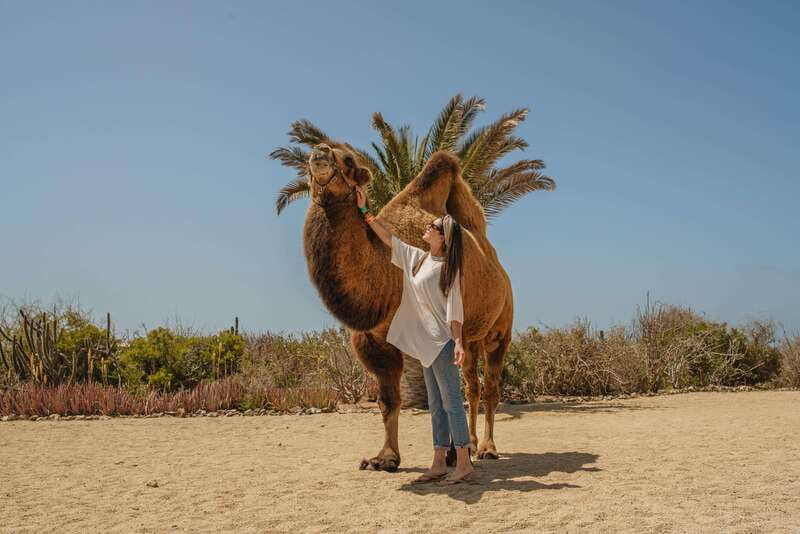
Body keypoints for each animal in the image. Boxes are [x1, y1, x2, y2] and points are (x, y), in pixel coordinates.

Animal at [302, 140, 514, 471]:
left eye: (348, 160)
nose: (319, 152)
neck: (390, 277)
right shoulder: (372, 341)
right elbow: (389, 400)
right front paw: (384, 458)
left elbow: (441, 395)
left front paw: (449, 455)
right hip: (470, 338)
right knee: (472, 385)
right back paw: (471, 444)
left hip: (500, 329)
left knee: (490, 385)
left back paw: (487, 449)